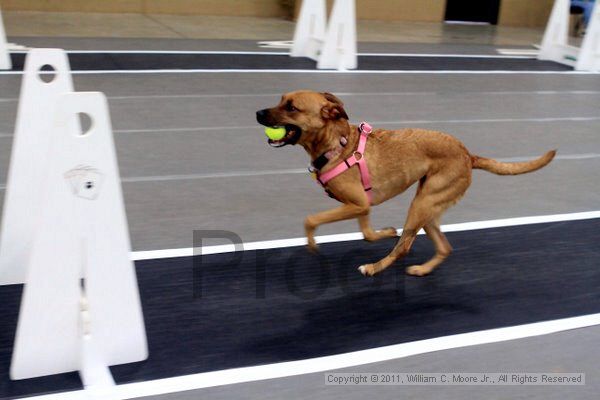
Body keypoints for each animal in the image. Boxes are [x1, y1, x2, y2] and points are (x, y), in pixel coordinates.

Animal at [255, 92, 556, 276]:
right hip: (428, 207)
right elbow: (368, 234)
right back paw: (422, 269)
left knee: (404, 248)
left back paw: (374, 268)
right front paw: (386, 231)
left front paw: (312, 244)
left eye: (291, 107)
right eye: (281, 99)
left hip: (420, 205)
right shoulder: (362, 207)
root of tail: (468, 156)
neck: (336, 146)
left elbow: (310, 219)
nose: (258, 113)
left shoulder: (356, 205)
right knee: (443, 247)